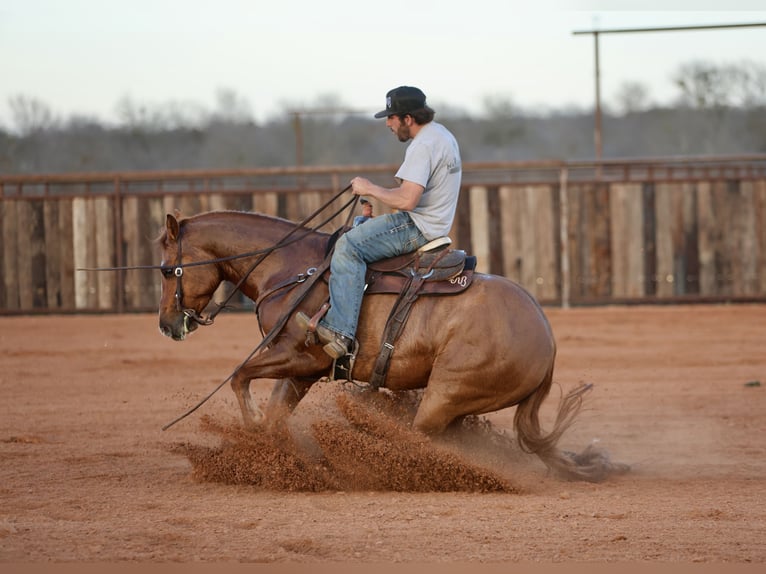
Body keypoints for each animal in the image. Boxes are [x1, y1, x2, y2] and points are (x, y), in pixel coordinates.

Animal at [159, 210, 620, 482]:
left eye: (166, 269)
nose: (166, 325)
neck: (292, 270)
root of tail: (547, 338)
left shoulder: (299, 356)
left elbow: (240, 376)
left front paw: (253, 427)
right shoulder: (302, 371)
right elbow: (274, 412)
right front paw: (272, 452)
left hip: (445, 394)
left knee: (420, 442)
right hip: (456, 405)